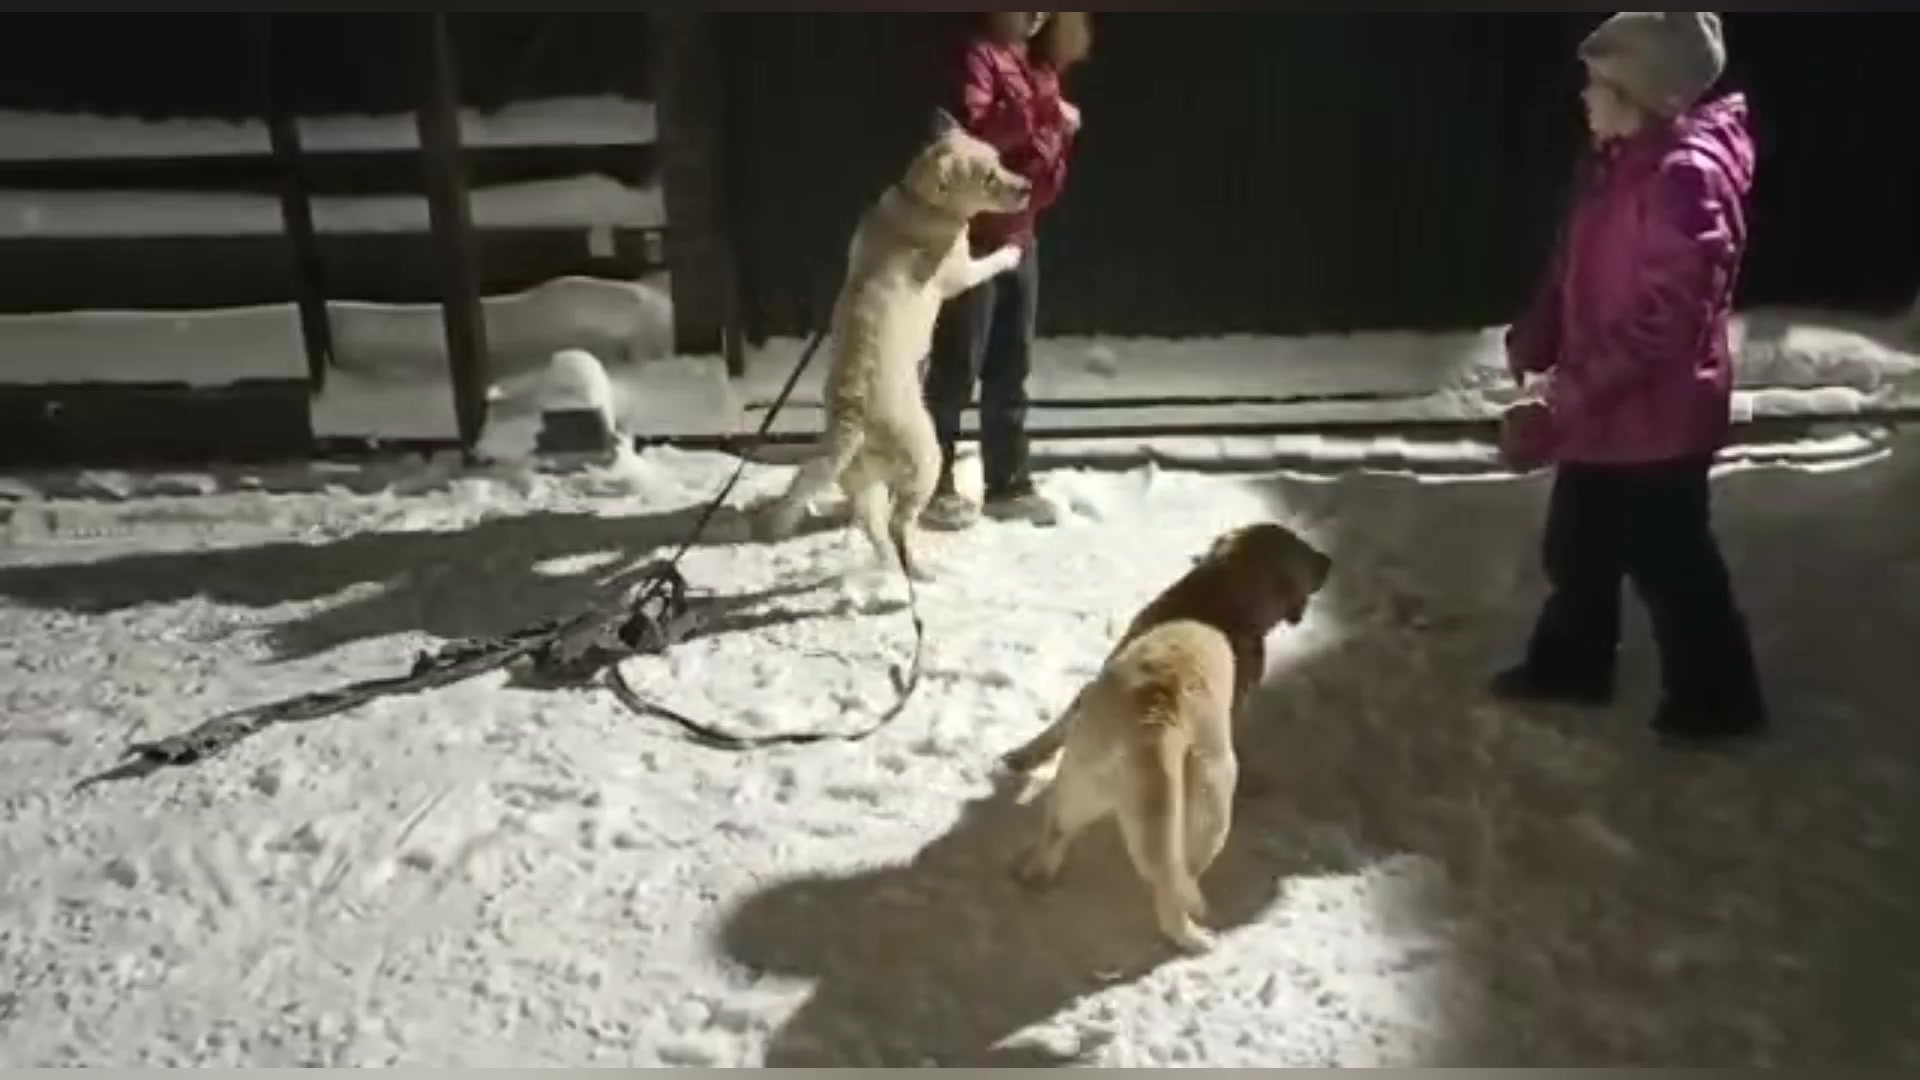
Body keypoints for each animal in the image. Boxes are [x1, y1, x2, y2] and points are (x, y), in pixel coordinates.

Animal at [748, 114, 1036, 580]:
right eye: (989, 175)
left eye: (1001, 159)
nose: (1027, 187)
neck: (921, 200)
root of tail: (852, 422)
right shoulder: (958, 274)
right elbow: (984, 264)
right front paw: (1009, 251)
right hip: (926, 461)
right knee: (901, 523)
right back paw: (917, 569)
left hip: (862, 482)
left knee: (875, 527)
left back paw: (890, 569)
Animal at [1006, 522, 1336, 949]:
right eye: (1306, 554)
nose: (1330, 560)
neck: (1221, 590)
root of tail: (1154, 725)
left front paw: (1022, 755)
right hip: (1210, 805)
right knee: (1176, 882)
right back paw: (1195, 933)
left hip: (1078, 784)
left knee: (1057, 832)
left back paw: (1036, 874)